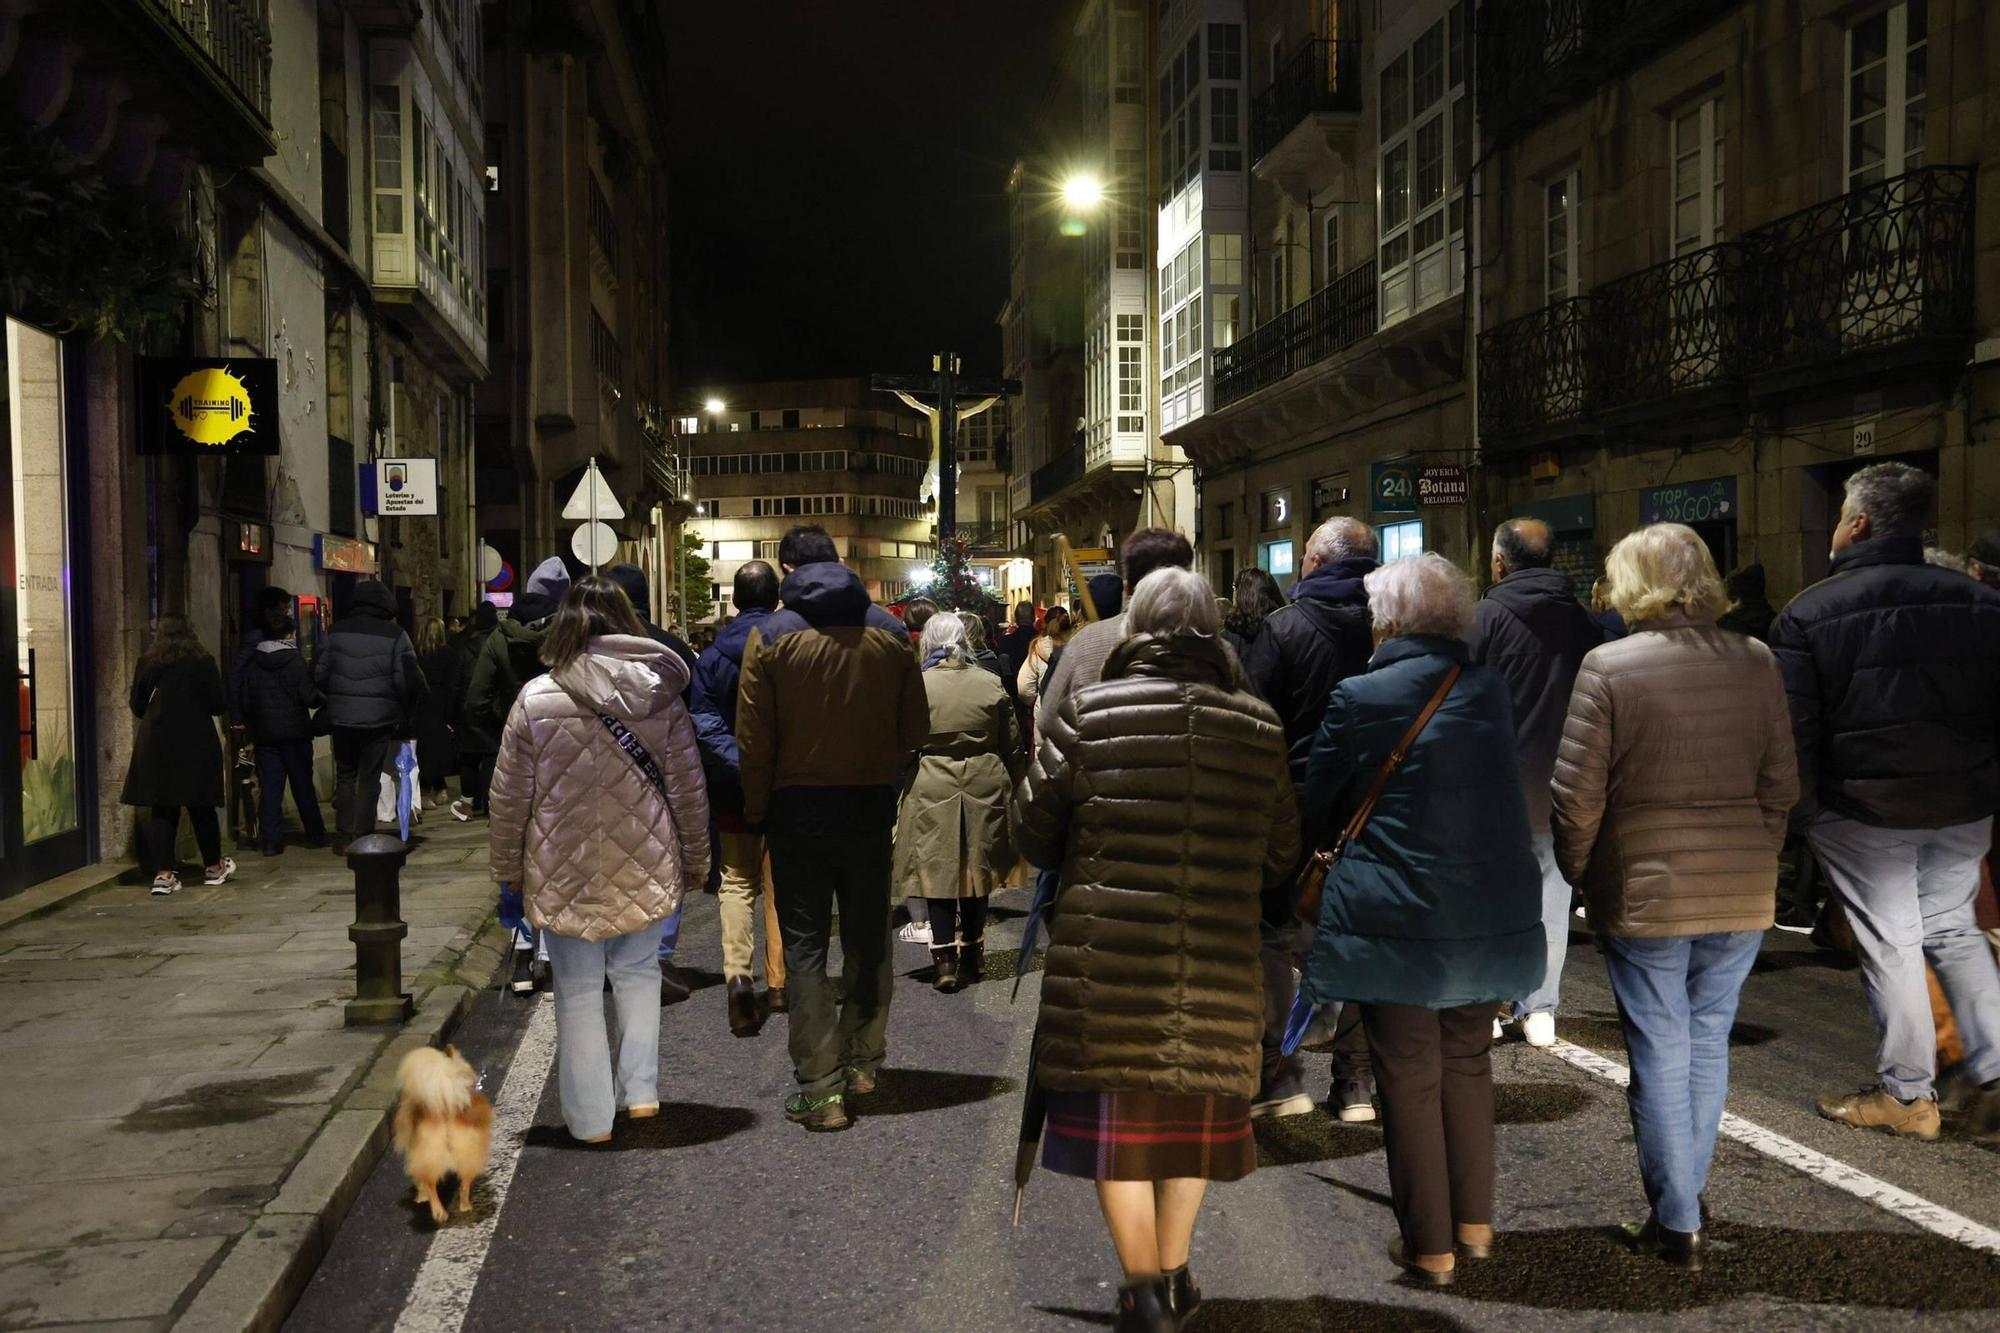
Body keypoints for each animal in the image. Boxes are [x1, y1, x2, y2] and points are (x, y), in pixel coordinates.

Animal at [392, 1040, 494, 1216]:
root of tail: (447, 1109)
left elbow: (418, 1179)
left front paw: (420, 1197)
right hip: (467, 1154)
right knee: (464, 1184)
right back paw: (464, 1207)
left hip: (431, 1154)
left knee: (429, 1182)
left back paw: (438, 1211)